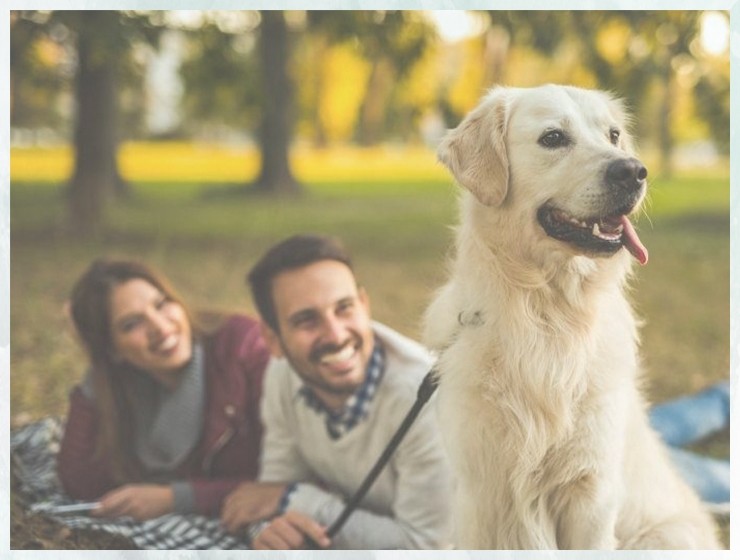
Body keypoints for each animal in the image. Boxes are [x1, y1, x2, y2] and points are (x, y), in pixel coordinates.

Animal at [424, 85, 720, 548]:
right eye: (553, 138)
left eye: (614, 134)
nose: (633, 171)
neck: (547, 313)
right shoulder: (477, 493)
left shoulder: (590, 491)